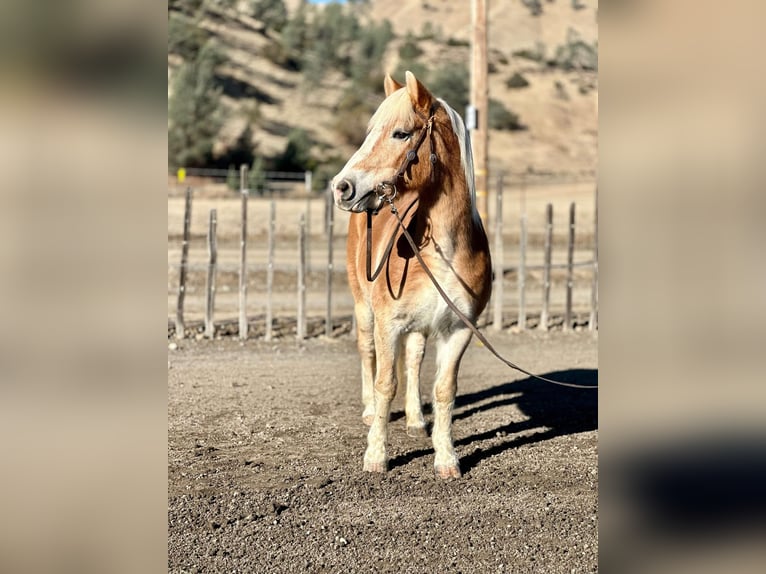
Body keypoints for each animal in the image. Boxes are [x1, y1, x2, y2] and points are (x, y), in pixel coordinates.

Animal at [330, 71, 492, 476]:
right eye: (370, 131)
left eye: (401, 133)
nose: (341, 187)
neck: (445, 249)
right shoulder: (389, 324)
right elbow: (385, 383)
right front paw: (376, 456)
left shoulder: (458, 328)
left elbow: (444, 390)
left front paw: (447, 459)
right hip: (364, 310)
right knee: (367, 353)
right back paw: (369, 411)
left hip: (419, 325)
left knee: (415, 358)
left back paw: (417, 420)